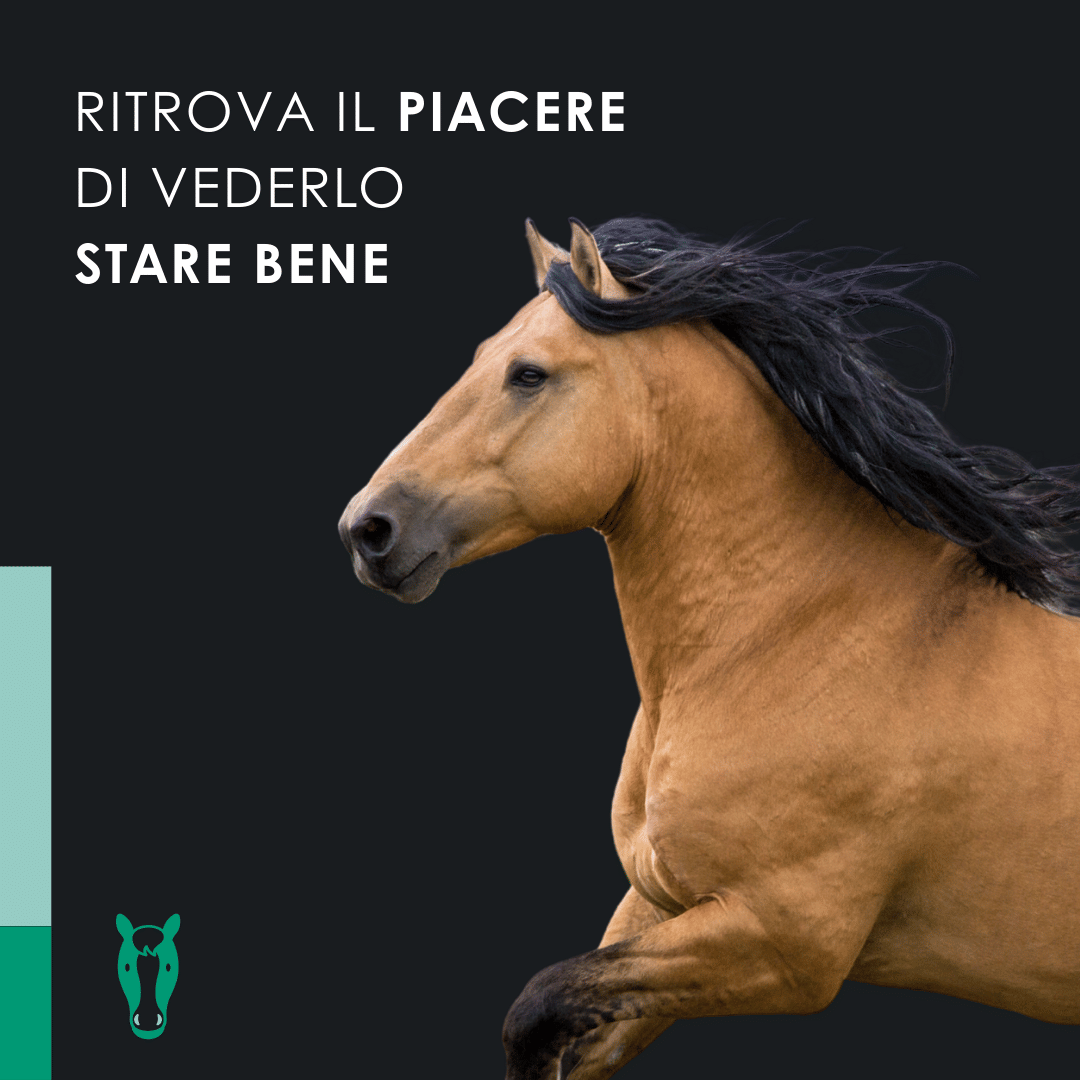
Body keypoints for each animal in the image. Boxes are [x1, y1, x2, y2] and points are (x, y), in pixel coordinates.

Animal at [337, 217, 1080, 1079]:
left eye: (528, 374)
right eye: (483, 356)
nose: (368, 530)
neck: (790, 642)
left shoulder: (781, 941)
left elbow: (536, 1009)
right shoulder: (663, 906)